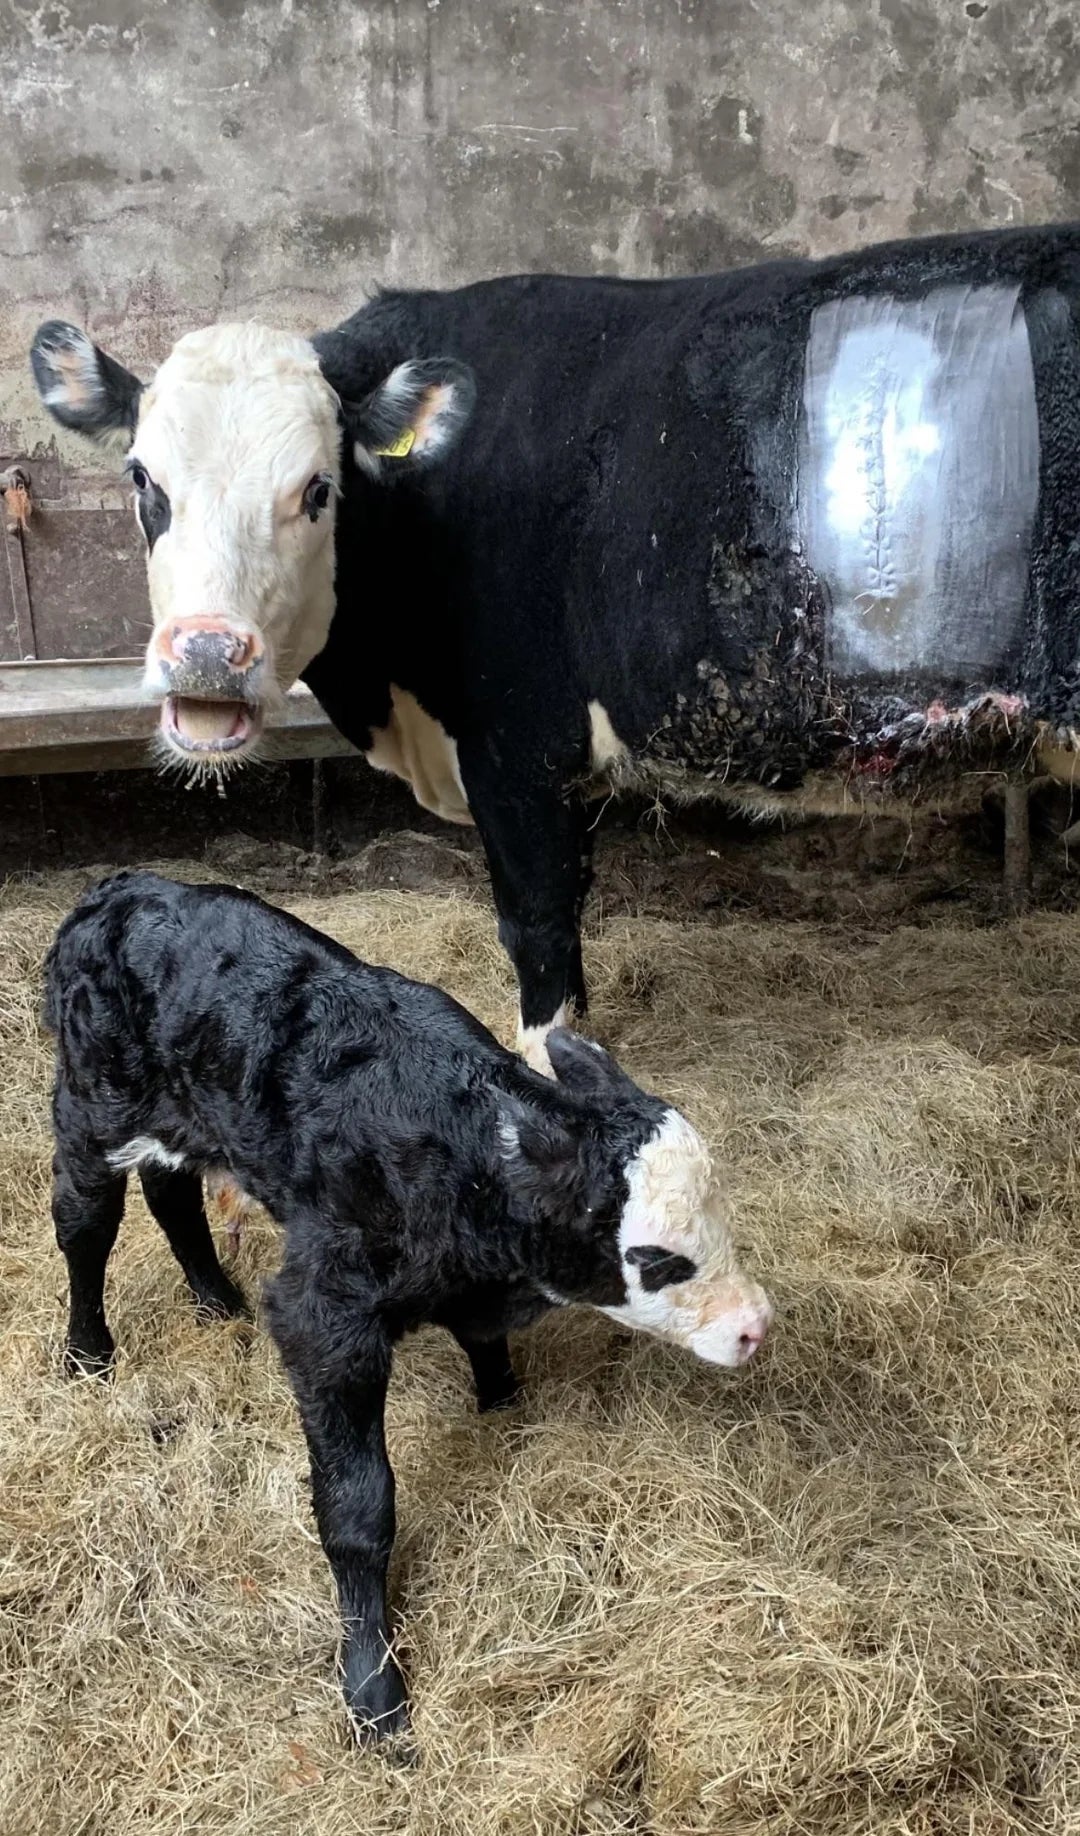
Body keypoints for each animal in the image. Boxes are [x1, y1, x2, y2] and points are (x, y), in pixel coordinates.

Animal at [30, 223, 1080, 1071]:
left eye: (318, 488)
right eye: (143, 479)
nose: (209, 652)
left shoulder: (515, 747)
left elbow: (535, 922)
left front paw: (546, 1065)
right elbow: (569, 920)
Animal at [44, 870, 772, 1742]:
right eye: (657, 1259)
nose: (756, 1326)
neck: (465, 1159)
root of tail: (121, 888)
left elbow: (483, 1341)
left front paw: (503, 1400)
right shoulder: (325, 1318)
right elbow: (358, 1509)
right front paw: (374, 1691)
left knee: (170, 1192)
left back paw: (216, 1300)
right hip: (90, 1107)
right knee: (85, 1221)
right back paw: (88, 1352)